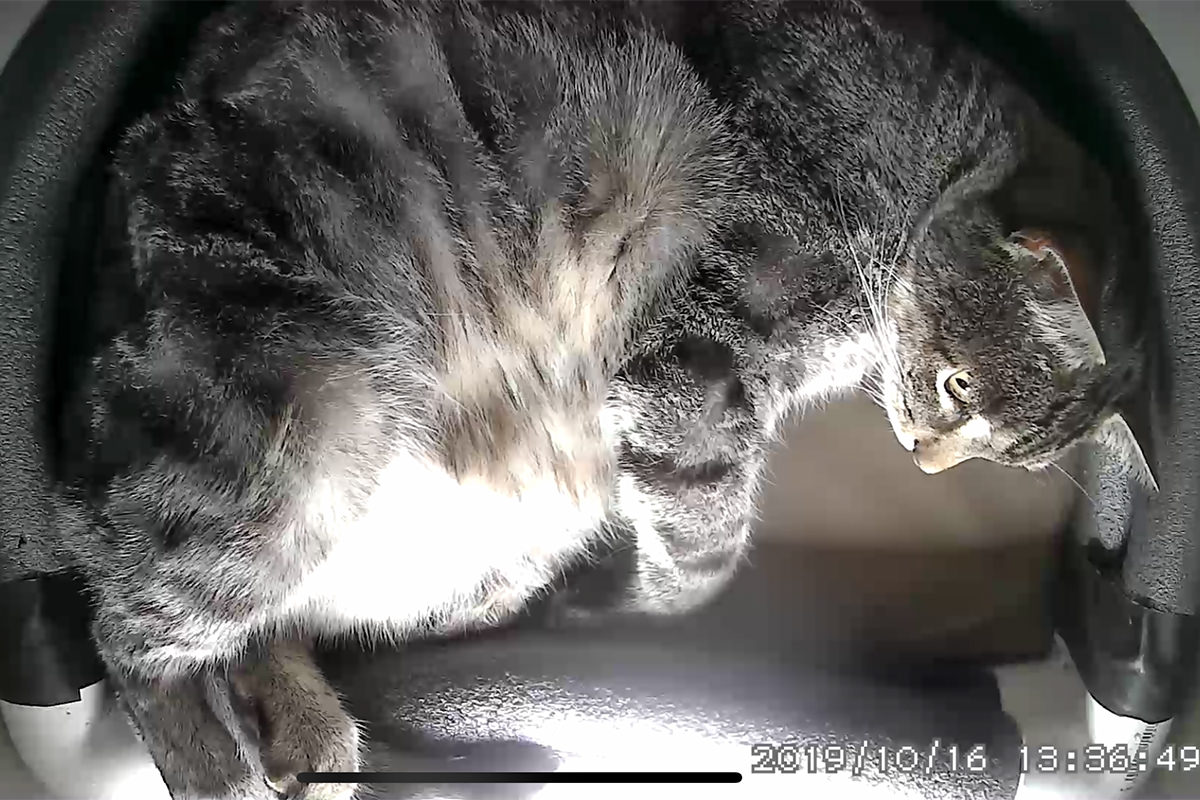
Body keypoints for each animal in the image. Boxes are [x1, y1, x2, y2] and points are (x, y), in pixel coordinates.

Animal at [42, 1, 1152, 800]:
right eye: (960, 385)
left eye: (998, 452)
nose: (927, 456)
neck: (927, 160)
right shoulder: (698, 359)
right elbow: (705, 550)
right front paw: (651, 606)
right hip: (287, 439)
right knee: (126, 624)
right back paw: (220, 768)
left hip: (494, 530)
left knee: (270, 623)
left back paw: (304, 727)